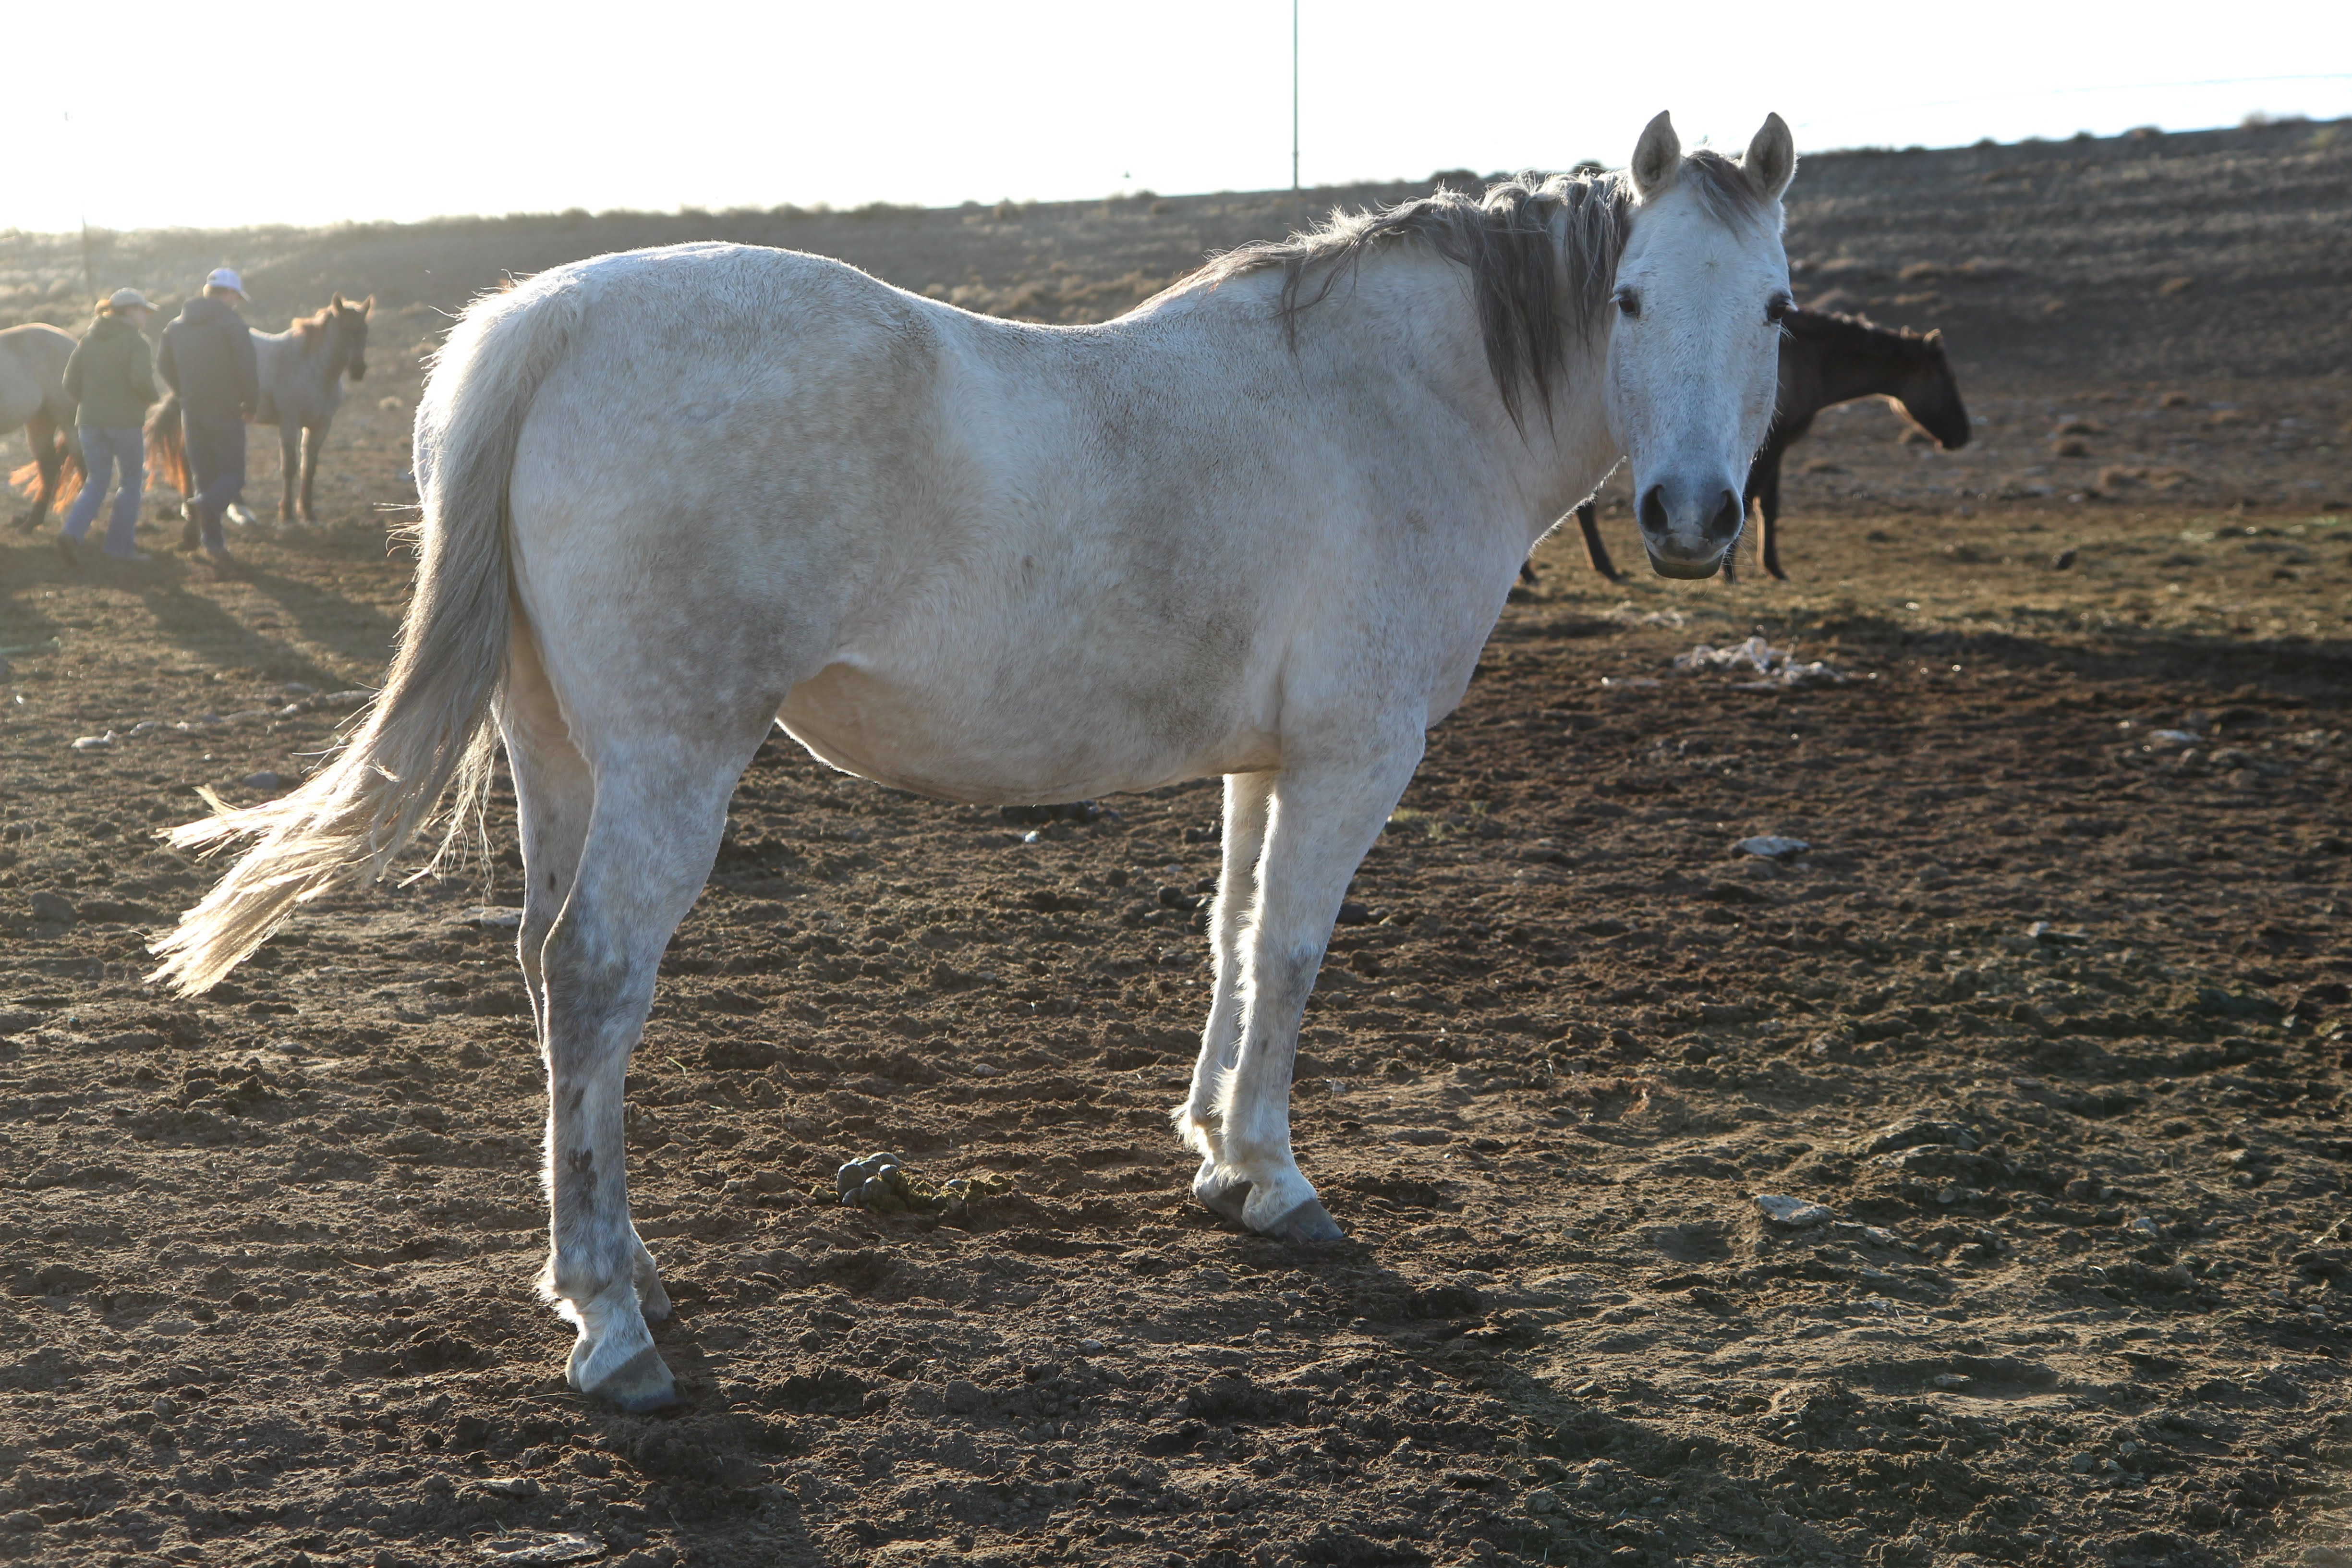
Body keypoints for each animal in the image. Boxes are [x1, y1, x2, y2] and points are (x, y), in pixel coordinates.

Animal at [149, 293, 373, 527]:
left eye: (365, 330)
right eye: (344, 329)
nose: (359, 370)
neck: (312, 368)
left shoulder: (321, 426)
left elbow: (309, 469)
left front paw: (308, 513)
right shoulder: (289, 423)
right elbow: (289, 468)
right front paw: (287, 514)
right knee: (189, 460)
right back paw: (202, 510)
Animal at [1552, 306, 1969, 582]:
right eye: (1948, 377)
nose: (1964, 434)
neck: (1810, 359)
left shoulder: (1778, 446)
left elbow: (1768, 504)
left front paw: (1773, 567)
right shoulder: (1768, 447)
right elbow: (1750, 502)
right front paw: (1732, 572)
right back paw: (1602, 566)